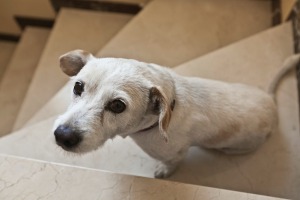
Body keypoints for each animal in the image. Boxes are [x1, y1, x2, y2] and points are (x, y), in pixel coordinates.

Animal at [52, 50, 298, 178]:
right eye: (78, 87)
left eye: (118, 106)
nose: (63, 135)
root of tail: (272, 102)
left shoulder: (176, 153)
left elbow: (172, 163)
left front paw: (164, 170)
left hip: (235, 147)